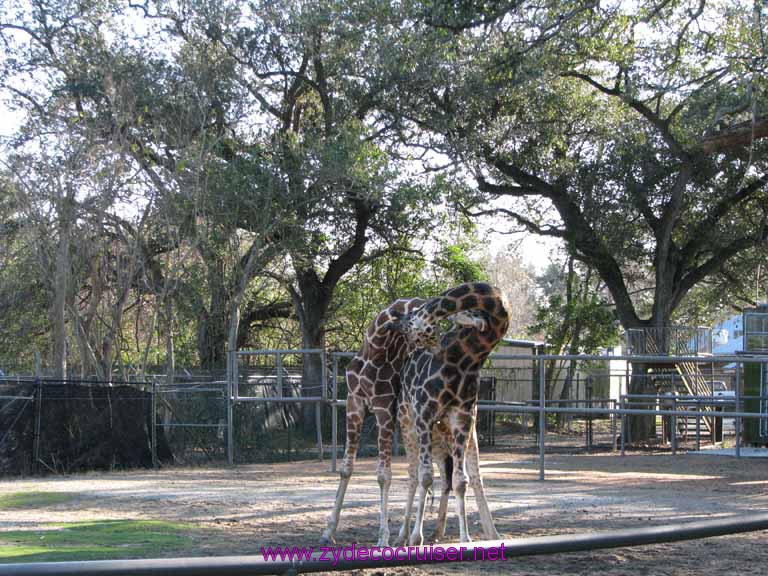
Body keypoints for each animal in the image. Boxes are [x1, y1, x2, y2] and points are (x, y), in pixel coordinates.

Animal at [395, 282, 510, 545]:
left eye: (409, 329)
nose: (430, 350)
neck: (465, 358)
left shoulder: (462, 417)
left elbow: (461, 480)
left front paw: (465, 539)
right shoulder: (424, 413)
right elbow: (425, 477)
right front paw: (416, 538)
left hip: (447, 435)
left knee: (460, 477)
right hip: (408, 425)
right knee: (414, 474)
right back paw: (402, 536)